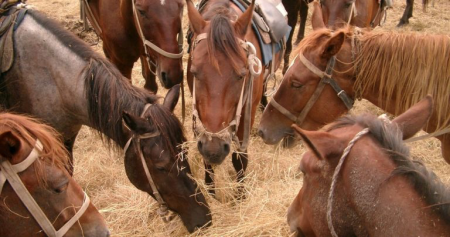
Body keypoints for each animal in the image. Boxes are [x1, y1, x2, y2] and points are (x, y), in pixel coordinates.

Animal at [185, 0, 282, 194]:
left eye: (241, 75)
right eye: (194, 72)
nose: (214, 149)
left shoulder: (246, 113)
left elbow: (240, 158)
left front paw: (240, 195)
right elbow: (206, 159)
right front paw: (211, 191)